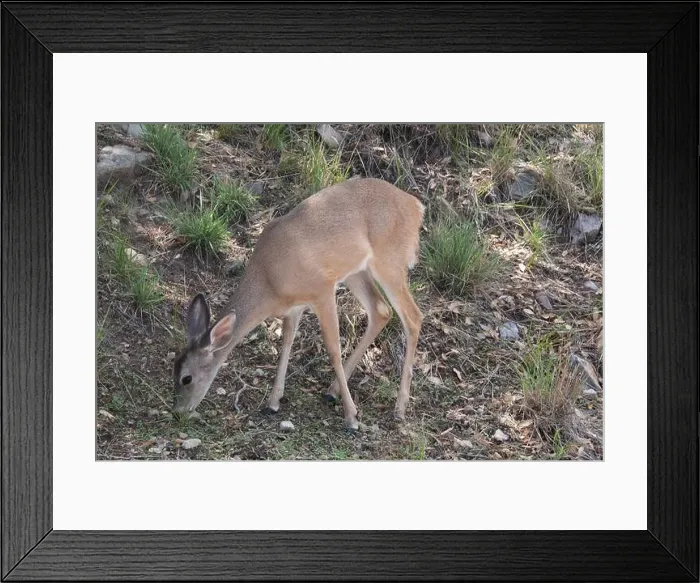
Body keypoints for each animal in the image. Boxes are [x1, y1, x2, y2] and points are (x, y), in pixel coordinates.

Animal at [171, 177, 425, 431]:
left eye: (186, 378)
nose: (178, 413)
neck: (269, 280)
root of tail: (416, 206)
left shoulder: (322, 290)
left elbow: (333, 348)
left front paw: (351, 417)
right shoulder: (293, 308)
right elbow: (286, 343)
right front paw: (273, 403)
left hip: (389, 261)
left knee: (413, 316)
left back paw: (399, 408)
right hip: (356, 270)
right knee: (381, 310)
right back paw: (332, 390)